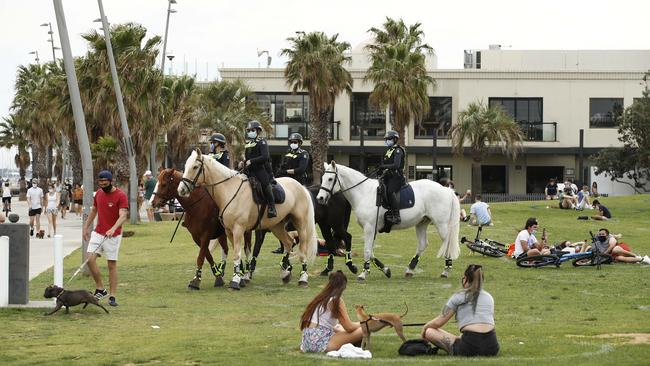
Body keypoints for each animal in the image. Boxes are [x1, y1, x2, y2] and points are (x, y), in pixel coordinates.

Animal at [177, 149, 318, 288]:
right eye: (185, 166)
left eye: (195, 167)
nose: (181, 189)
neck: (230, 190)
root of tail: (301, 187)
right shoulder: (229, 231)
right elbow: (238, 254)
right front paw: (240, 278)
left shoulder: (239, 229)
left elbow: (237, 254)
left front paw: (235, 281)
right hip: (276, 226)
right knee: (289, 242)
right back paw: (285, 273)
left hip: (300, 224)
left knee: (302, 250)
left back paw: (303, 278)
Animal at [316, 161, 460, 280]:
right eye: (322, 178)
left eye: (330, 179)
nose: (320, 198)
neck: (363, 193)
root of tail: (446, 189)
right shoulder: (372, 229)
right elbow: (371, 251)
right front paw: (385, 270)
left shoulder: (369, 228)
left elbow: (367, 250)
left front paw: (363, 273)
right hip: (421, 223)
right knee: (422, 244)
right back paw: (410, 269)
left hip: (441, 224)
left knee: (447, 243)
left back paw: (445, 271)